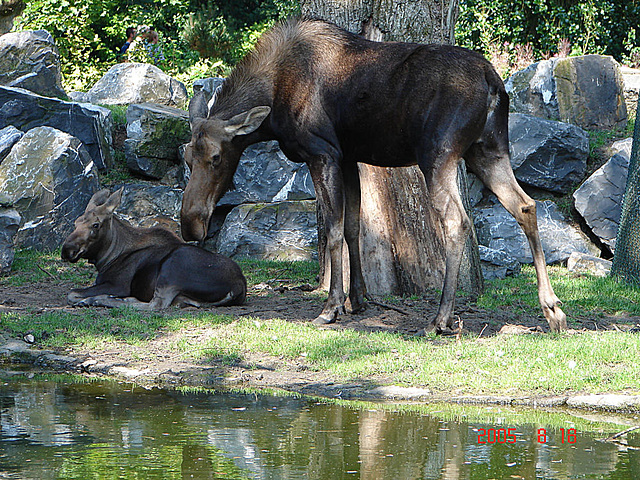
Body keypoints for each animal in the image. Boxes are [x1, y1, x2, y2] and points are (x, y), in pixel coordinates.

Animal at [62, 188, 248, 308]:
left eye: (96, 225)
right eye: (76, 222)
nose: (66, 250)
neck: (106, 258)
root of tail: (238, 286)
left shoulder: (118, 284)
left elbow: (72, 293)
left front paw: (89, 298)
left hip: (171, 268)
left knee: (156, 305)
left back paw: (96, 300)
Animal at [180, 18, 564, 334]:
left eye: (216, 157)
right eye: (185, 156)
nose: (190, 225)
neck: (273, 103)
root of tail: (494, 82)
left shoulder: (322, 153)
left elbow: (333, 231)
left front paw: (331, 307)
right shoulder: (349, 158)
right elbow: (353, 227)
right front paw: (357, 298)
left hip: (439, 155)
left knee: (458, 220)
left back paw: (441, 318)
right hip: (489, 150)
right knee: (525, 205)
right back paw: (552, 309)